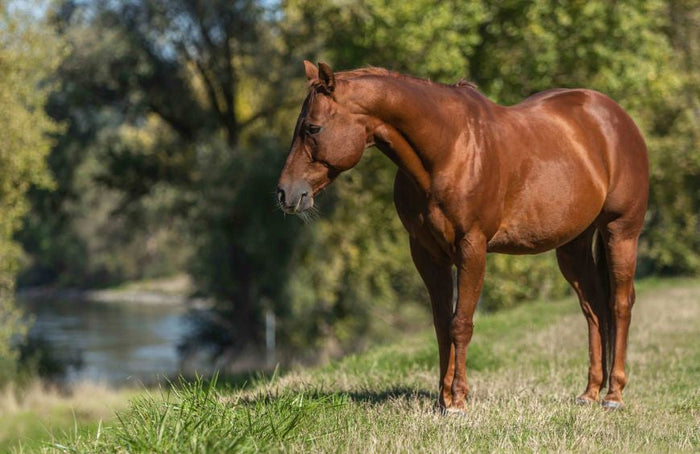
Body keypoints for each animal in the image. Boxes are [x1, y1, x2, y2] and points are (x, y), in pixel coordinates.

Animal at [276, 61, 649, 412]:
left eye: (312, 127)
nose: (285, 194)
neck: (448, 150)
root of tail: (615, 118)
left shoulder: (472, 247)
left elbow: (461, 324)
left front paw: (457, 401)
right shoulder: (427, 254)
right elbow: (442, 325)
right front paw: (442, 399)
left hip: (620, 232)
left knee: (619, 304)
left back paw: (614, 395)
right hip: (573, 246)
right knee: (594, 309)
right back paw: (590, 393)